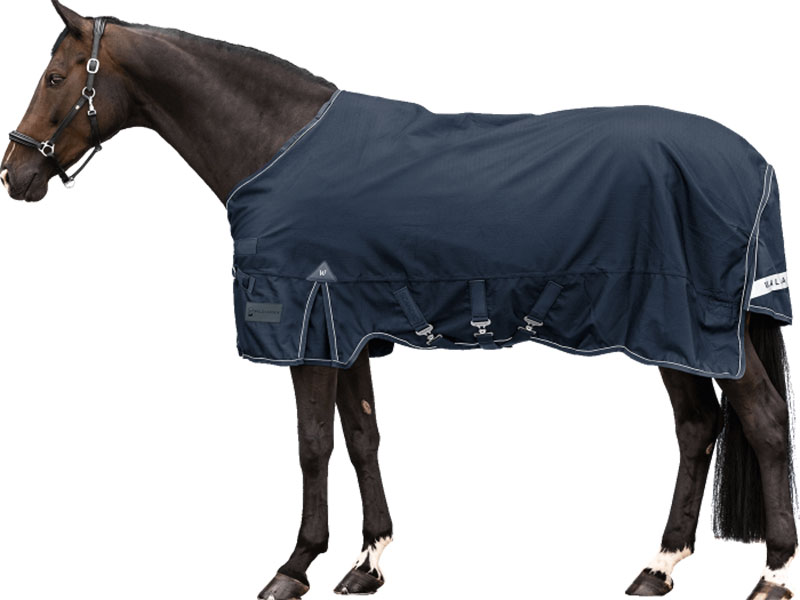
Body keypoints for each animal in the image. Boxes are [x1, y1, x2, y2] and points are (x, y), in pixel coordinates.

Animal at [2, 3, 796, 599]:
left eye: (53, 76)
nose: (15, 175)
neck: (277, 144)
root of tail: (753, 161)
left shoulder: (306, 329)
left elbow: (312, 446)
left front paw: (294, 567)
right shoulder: (345, 327)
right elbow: (362, 437)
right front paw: (368, 562)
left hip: (698, 326)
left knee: (760, 418)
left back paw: (772, 576)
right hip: (670, 334)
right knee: (697, 427)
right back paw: (658, 567)